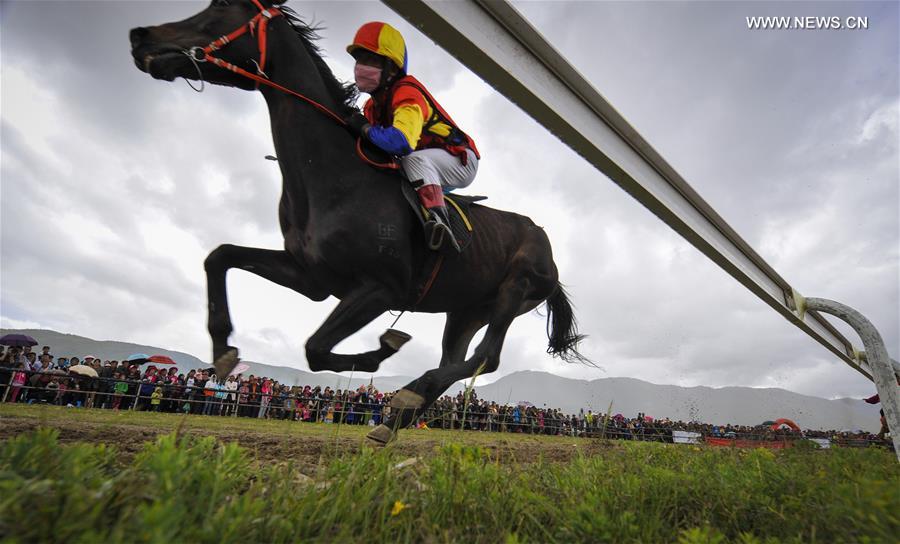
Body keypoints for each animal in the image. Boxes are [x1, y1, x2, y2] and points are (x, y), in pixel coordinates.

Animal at [130, 0, 588, 442]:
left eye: (222, 6)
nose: (140, 36)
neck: (335, 176)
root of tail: (549, 252)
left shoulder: (380, 288)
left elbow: (316, 348)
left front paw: (384, 348)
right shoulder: (311, 277)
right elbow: (220, 256)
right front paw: (224, 349)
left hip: (516, 289)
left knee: (486, 356)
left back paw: (407, 395)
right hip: (466, 309)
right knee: (459, 358)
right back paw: (398, 416)